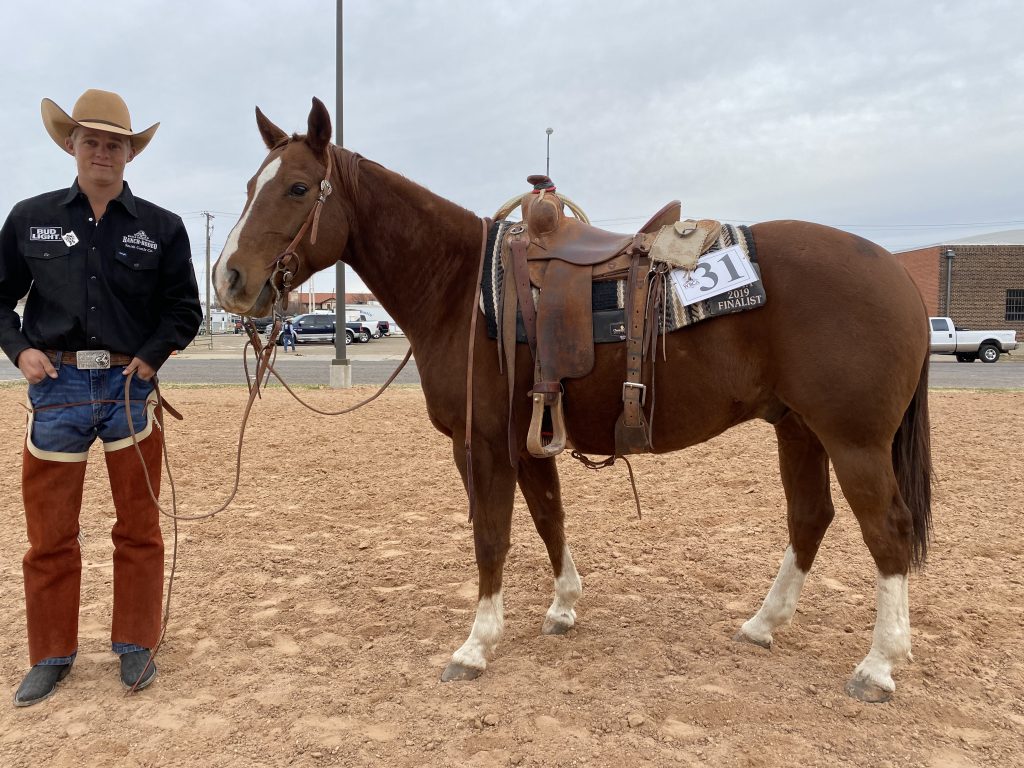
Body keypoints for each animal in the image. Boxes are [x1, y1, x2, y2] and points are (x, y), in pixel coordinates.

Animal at [212, 98, 932, 703]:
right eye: (249, 187)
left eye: (297, 187)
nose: (230, 279)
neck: (458, 288)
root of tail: (895, 274)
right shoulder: (527, 438)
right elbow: (548, 517)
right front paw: (562, 606)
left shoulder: (480, 444)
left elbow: (492, 535)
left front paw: (476, 644)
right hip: (799, 429)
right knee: (810, 518)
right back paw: (763, 624)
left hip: (853, 440)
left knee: (888, 531)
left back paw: (878, 665)